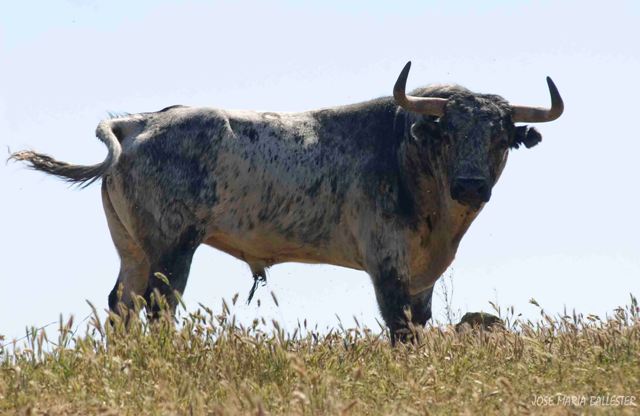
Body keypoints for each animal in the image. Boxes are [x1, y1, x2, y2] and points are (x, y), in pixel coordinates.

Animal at [8, 61, 560, 342]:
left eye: (502, 137)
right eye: (448, 133)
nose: (471, 186)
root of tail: (136, 121)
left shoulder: (423, 277)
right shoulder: (387, 267)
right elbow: (400, 329)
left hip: (133, 248)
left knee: (121, 305)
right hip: (172, 248)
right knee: (159, 306)